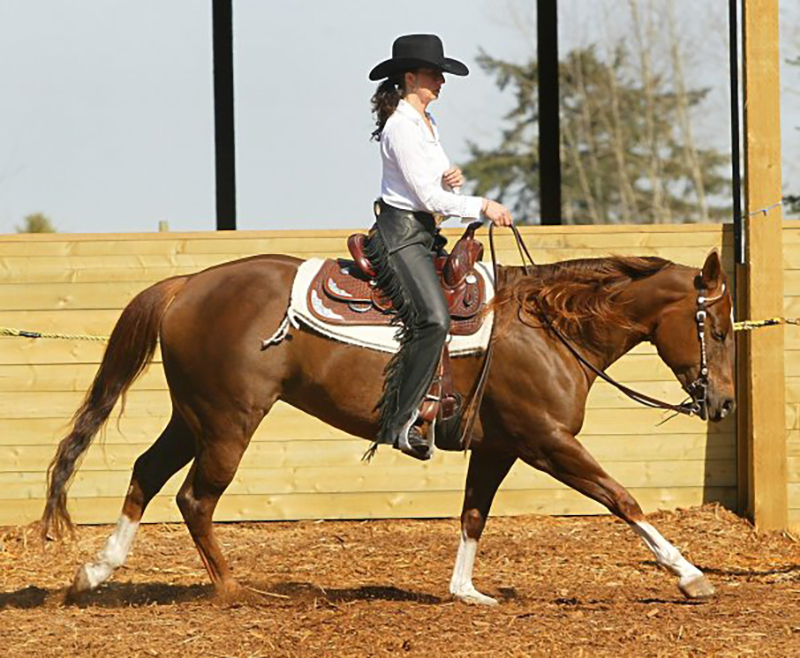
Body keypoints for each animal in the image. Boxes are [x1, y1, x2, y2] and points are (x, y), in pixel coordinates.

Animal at [41, 245, 735, 605]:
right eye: (720, 328)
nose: (724, 403)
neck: (547, 327)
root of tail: (187, 285)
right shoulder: (548, 443)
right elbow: (623, 499)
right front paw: (689, 575)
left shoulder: (500, 448)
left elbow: (473, 515)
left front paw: (465, 591)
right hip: (228, 422)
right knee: (194, 497)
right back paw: (236, 591)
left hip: (194, 417)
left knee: (148, 473)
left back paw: (95, 573)